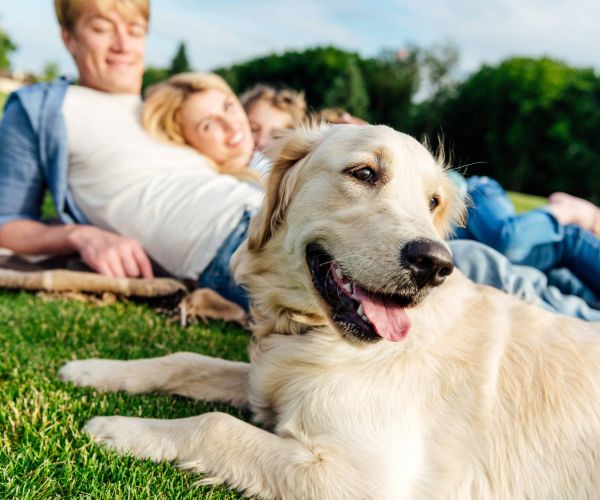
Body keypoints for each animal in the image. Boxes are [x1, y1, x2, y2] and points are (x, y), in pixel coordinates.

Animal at [61, 126, 600, 500]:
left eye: (432, 201)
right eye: (364, 173)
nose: (435, 264)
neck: (314, 333)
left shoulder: (364, 479)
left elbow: (214, 424)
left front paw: (117, 427)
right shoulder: (267, 378)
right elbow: (186, 360)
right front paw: (93, 371)